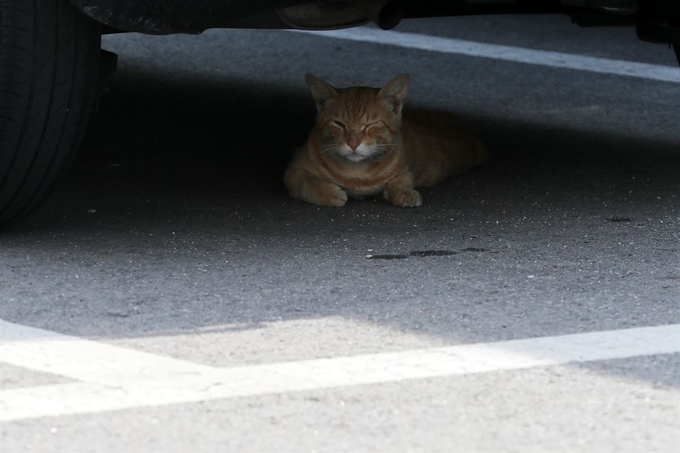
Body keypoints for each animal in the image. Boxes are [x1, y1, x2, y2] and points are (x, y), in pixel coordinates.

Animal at [282, 73, 488, 207]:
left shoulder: (405, 172)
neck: (356, 174)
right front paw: (329, 193)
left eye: (370, 125)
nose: (353, 143)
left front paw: (406, 193)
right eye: (339, 124)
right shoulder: (293, 170)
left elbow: (399, 182)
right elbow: (307, 182)